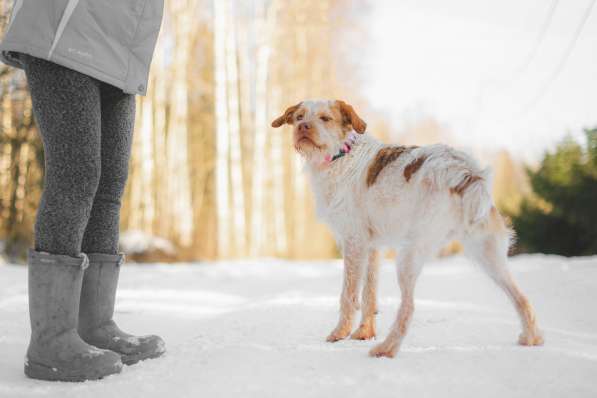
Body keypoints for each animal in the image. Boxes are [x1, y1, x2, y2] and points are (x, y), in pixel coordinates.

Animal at [272, 98, 544, 358]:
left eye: (325, 118)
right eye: (299, 117)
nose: (302, 127)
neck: (342, 154)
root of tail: (466, 172)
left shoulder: (353, 243)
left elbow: (349, 295)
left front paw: (339, 333)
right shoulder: (372, 248)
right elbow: (369, 294)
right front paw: (364, 332)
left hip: (409, 255)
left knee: (408, 308)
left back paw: (386, 349)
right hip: (489, 255)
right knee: (522, 299)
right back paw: (531, 338)